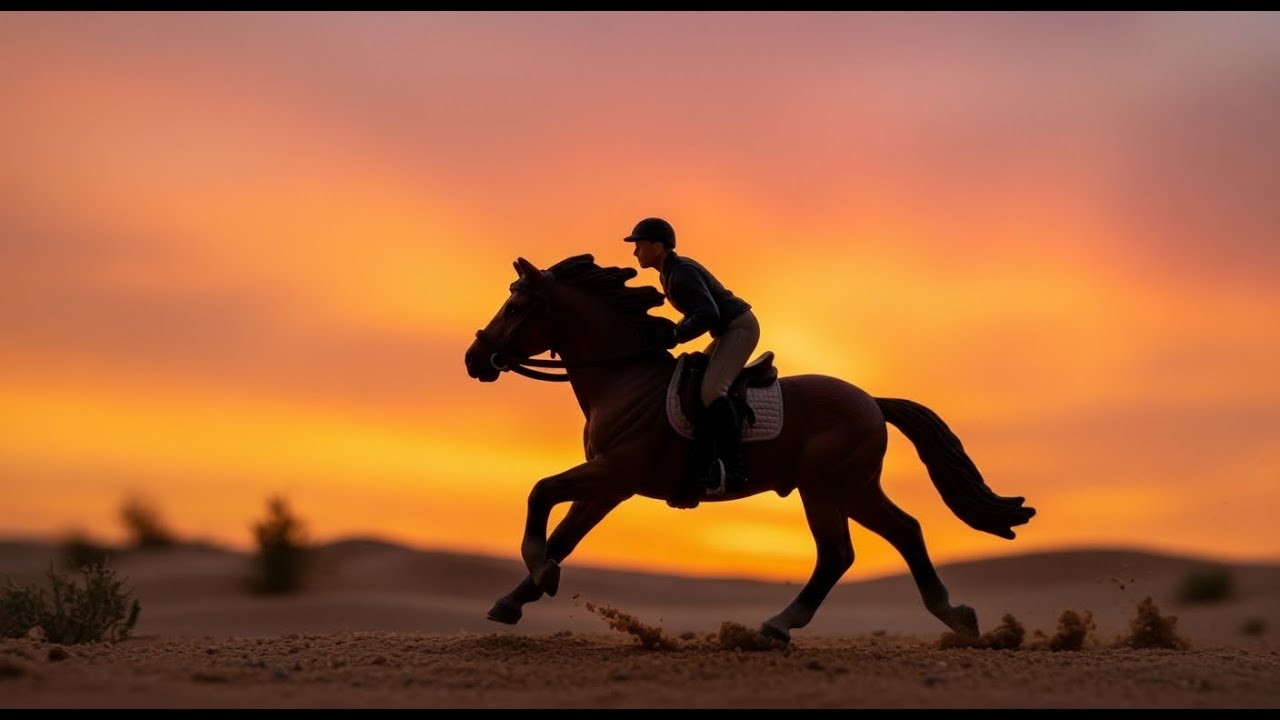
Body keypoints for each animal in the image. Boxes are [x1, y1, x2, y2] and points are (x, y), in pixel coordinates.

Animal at [463, 254, 1036, 642]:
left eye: (515, 306)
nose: (474, 358)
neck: (624, 379)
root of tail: (872, 402)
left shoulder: (614, 475)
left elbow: (541, 496)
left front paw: (539, 575)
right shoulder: (606, 485)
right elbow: (564, 535)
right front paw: (513, 601)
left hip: (826, 487)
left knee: (839, 552)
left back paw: (779, 625)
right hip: (852, 488)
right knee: (904, 532)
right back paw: (955, 616)